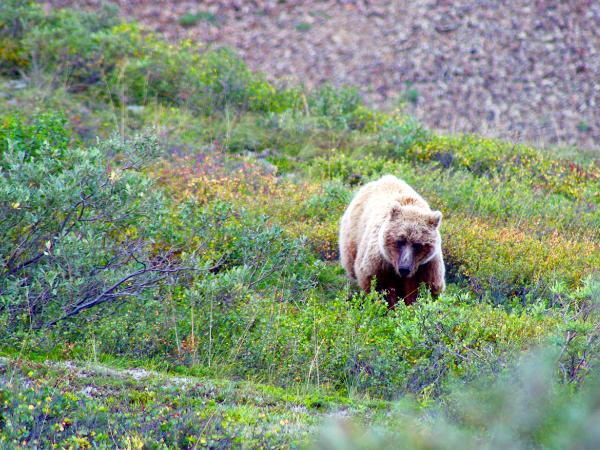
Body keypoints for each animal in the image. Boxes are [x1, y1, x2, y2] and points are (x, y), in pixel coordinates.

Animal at [340, 174, 442, 308]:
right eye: (400, 241)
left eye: (418, 245)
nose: (404, 268)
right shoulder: (380, 263)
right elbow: (379, 285)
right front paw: (390, 306)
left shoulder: (426, 266)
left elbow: (424, 288)